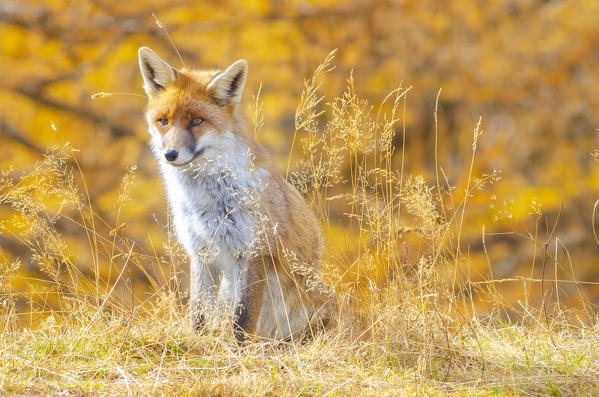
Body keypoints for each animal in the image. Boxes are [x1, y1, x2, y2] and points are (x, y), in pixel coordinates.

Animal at [138, 46, 330, 342]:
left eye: (197, 121)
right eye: (163, 122)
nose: (170, 154)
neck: (205, 201)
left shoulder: (254, 252)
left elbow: (243, 320)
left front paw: (238, 351)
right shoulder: (201, 251)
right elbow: (199, 312)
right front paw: (197, 342)